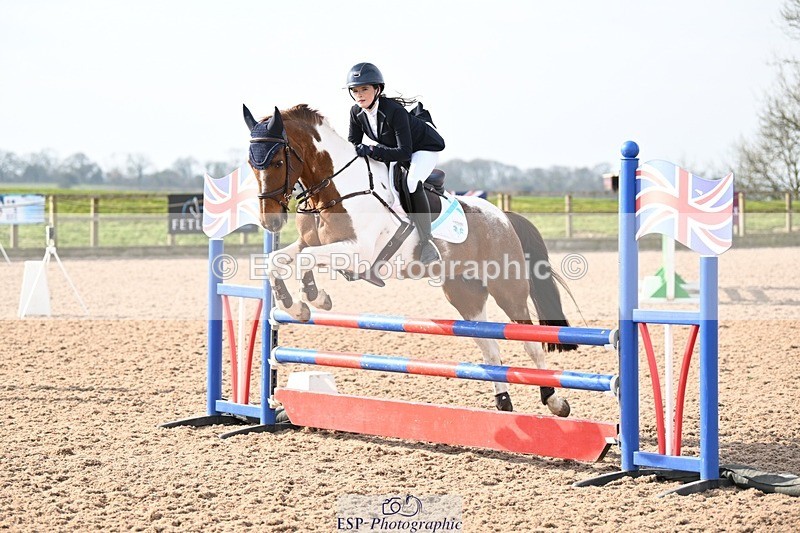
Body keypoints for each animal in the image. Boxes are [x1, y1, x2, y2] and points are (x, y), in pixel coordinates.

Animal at [244, 103, 577, 417]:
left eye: (277, 161)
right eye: (251, 164)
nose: (270, 222)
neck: (336, 189)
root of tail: (503, 217)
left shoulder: (357, 253)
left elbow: (306, 260)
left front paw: (312, 300)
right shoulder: (310, 243)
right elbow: (279, 260)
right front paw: (301, 304)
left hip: (507, 289)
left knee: (530, 342)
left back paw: (555, 401)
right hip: (464, 293)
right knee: (490, 347)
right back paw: (504, 402)